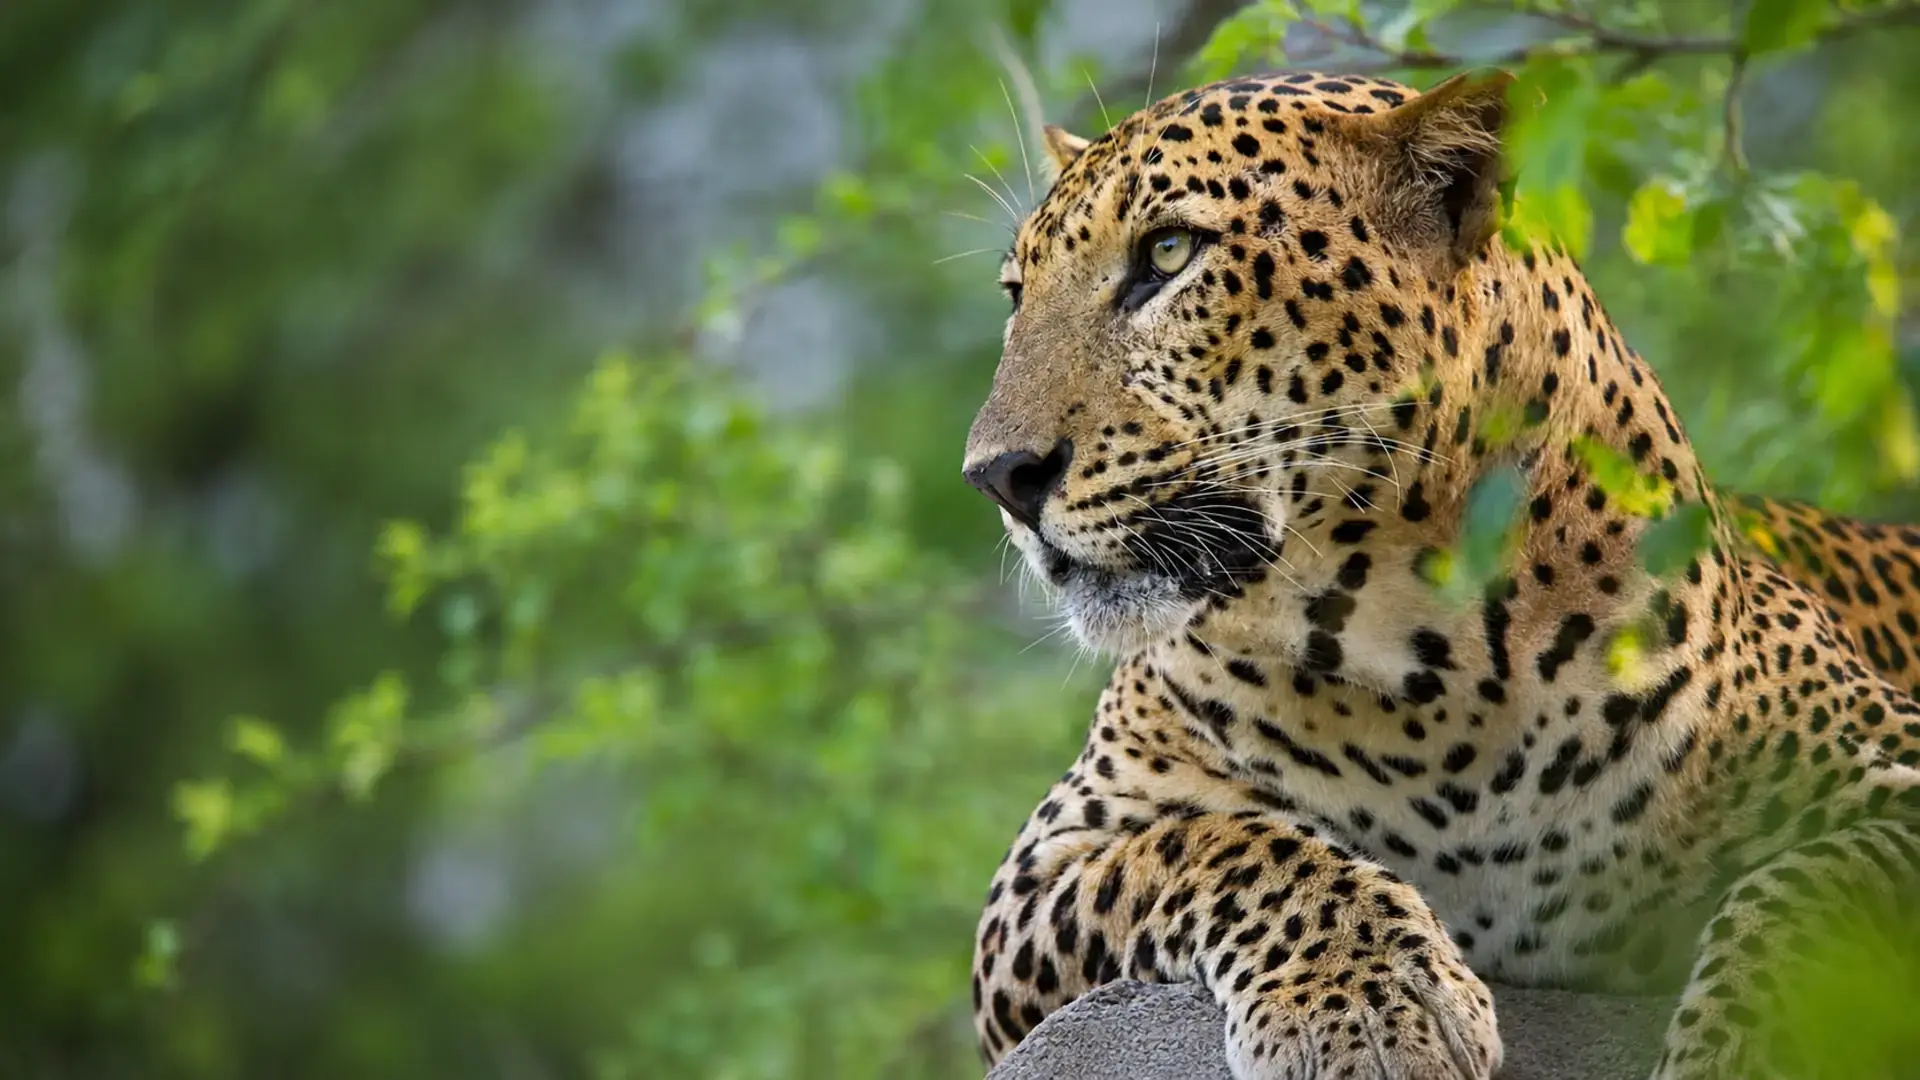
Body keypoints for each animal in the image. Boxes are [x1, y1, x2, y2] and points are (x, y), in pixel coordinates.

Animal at [959, 69, 1920, 1080]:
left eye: (1168, 253)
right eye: (1017, 293)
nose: (997, 476)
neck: (1424, 671)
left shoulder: (1891, 773)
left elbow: (1805, 903)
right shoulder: (1043, 871)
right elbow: (1221, 842)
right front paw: (1366, 1006)